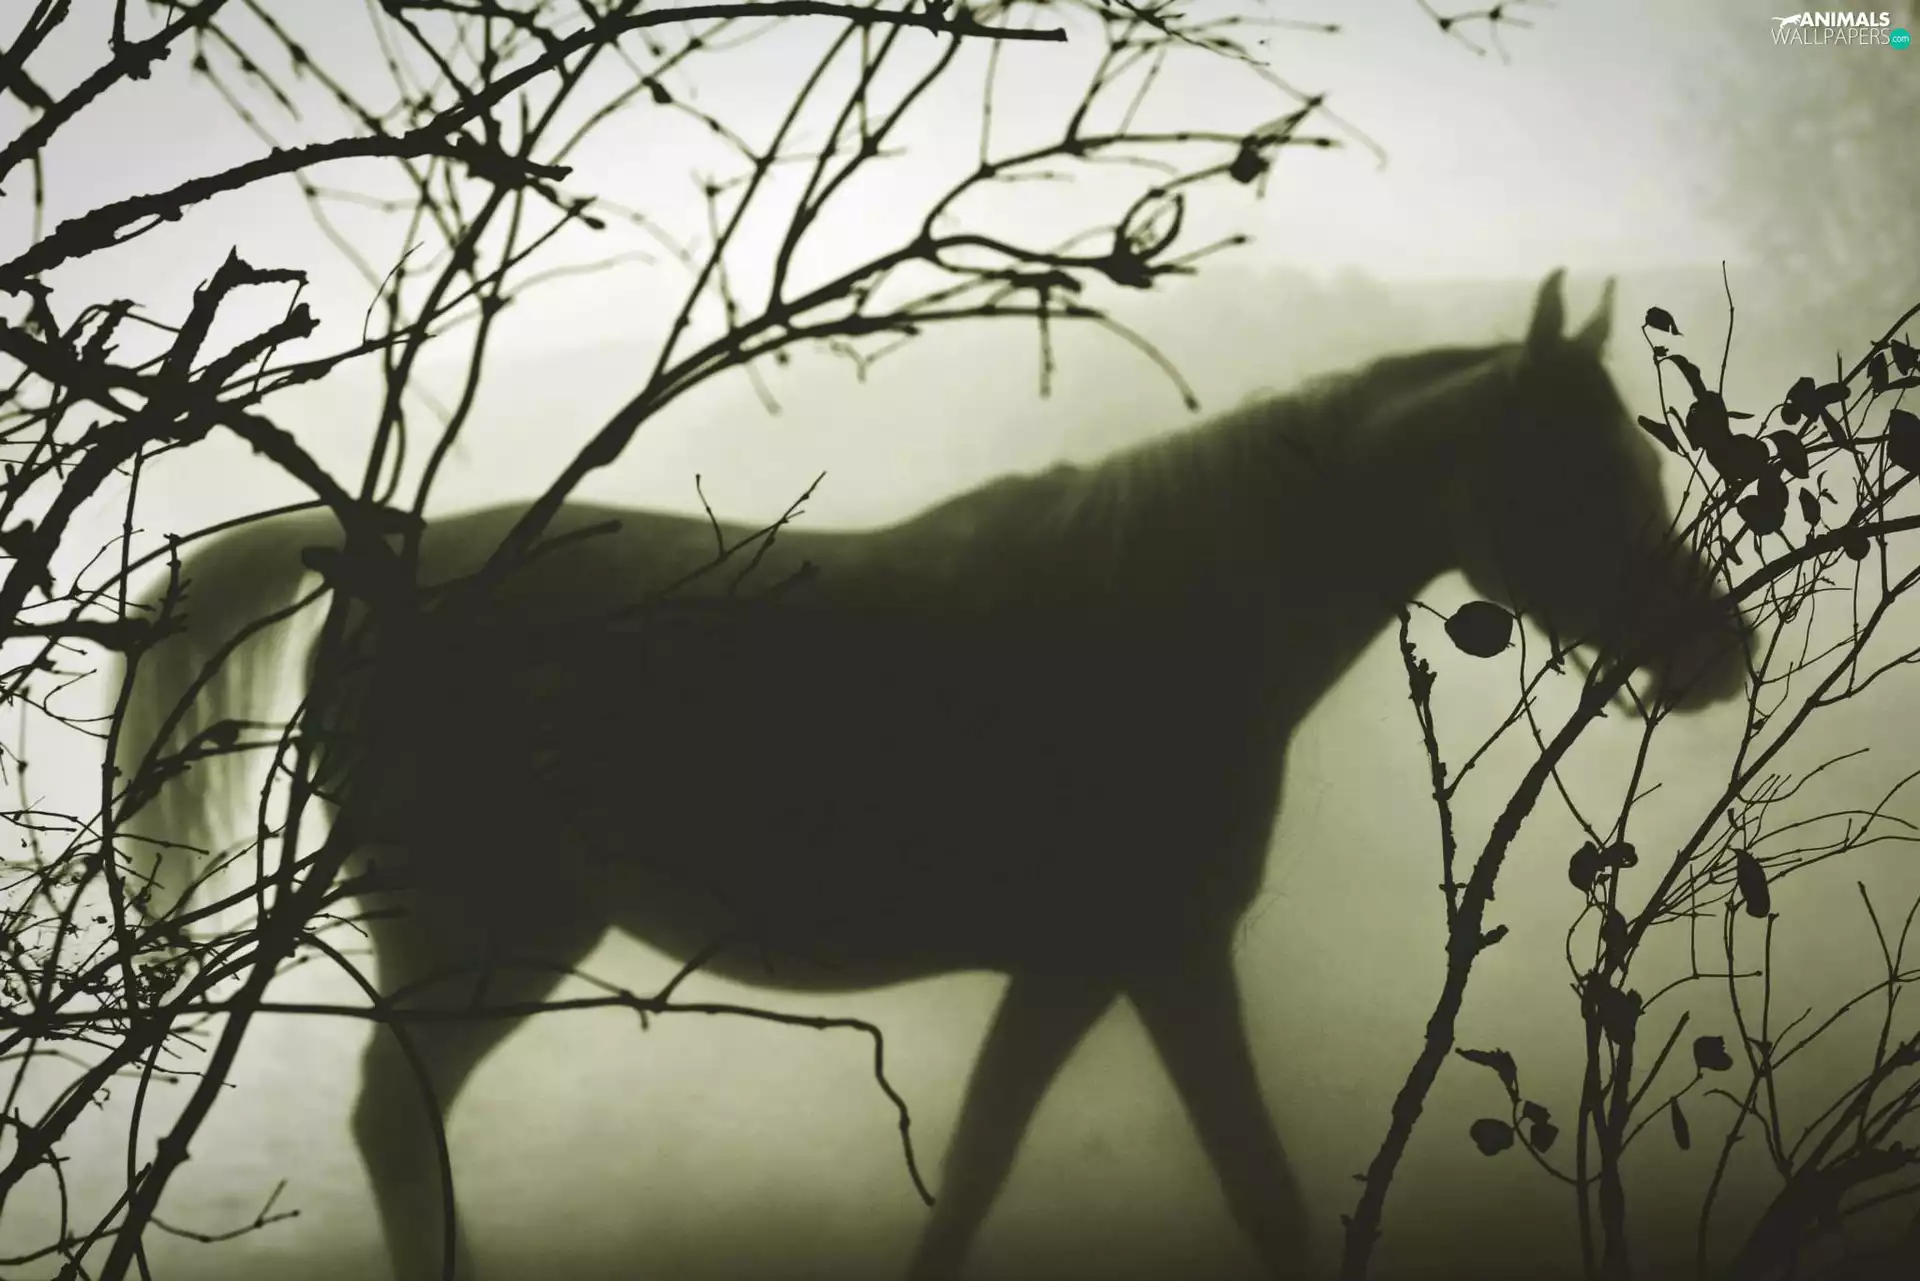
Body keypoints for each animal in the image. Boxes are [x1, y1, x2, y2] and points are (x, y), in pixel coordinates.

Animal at [114, 270, 1752, 1281]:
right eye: (1575, 475)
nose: (1717, 651)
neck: (1169, 613)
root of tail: (374, 553)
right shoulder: (1154, 955)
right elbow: (1257, 1193)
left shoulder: (1081, 969)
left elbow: (971, 1175)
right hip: (483, 936)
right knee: (397, 1126)